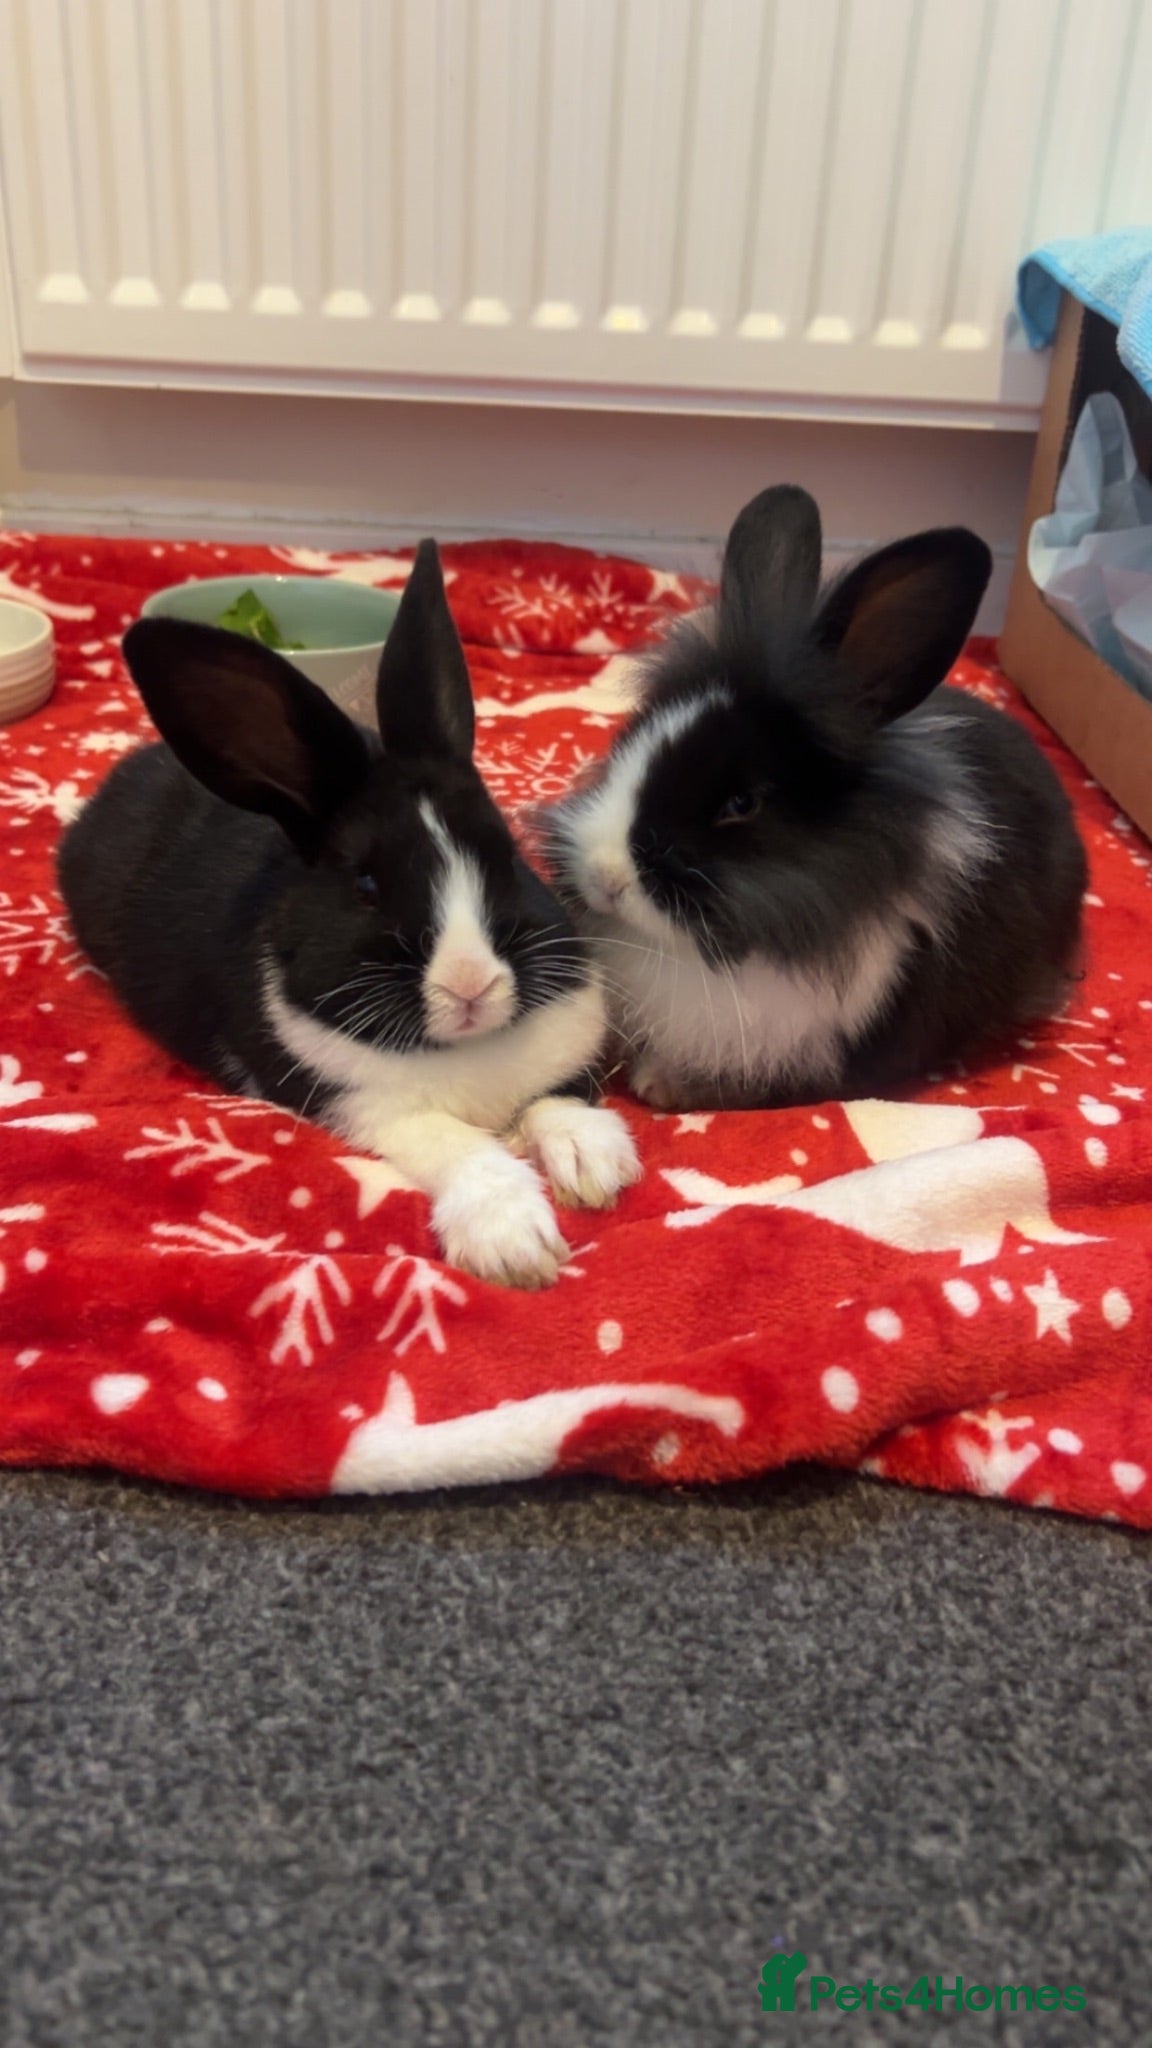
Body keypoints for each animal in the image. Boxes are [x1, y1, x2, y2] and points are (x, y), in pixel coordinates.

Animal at [57, 541, 639, 1287]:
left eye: (505, 854)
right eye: (365, 885)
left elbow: (555, 1097)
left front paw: (595, 1163)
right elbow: (454, 1143)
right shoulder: (365, 1105)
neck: (465, 1046)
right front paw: (514, 1244)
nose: (472, 984)